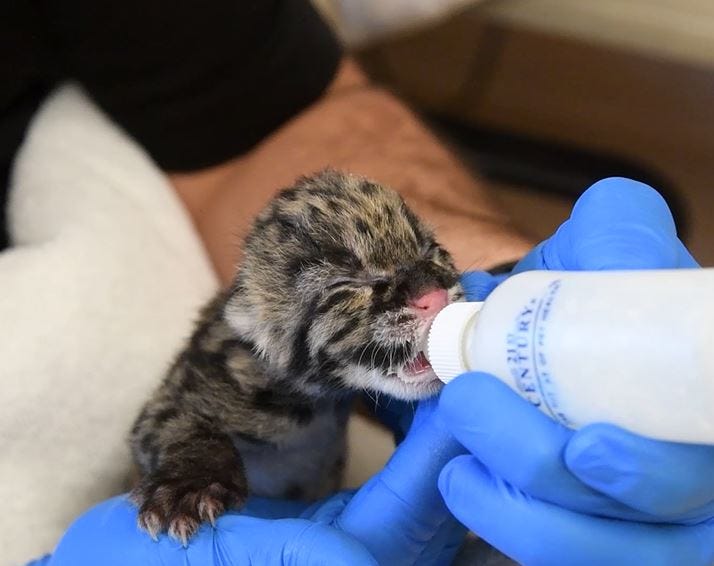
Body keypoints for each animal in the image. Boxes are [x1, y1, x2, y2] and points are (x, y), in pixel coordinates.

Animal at [129, 170, 462, 544]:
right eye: (348, 282)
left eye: (430, 250)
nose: (435, 295)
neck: (317, 406)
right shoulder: (176, 393)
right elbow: (179, 422)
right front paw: (191, 485)